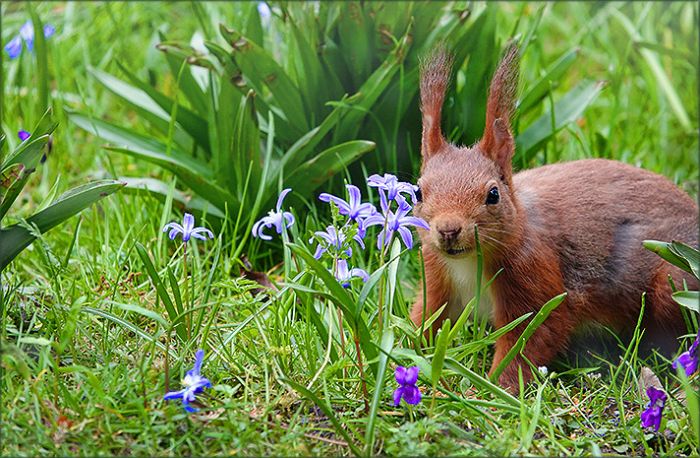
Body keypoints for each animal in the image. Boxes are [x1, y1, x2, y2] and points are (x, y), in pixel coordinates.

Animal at [410, 43, 699, 392]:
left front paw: (496, 388)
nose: (448, 229)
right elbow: (426, 316)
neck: (468, 262)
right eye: (418, 192)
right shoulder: (437, 274)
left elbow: (533, 336)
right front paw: (403, 351)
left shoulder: (532, 271)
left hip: (675, 279)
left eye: (493, 195)